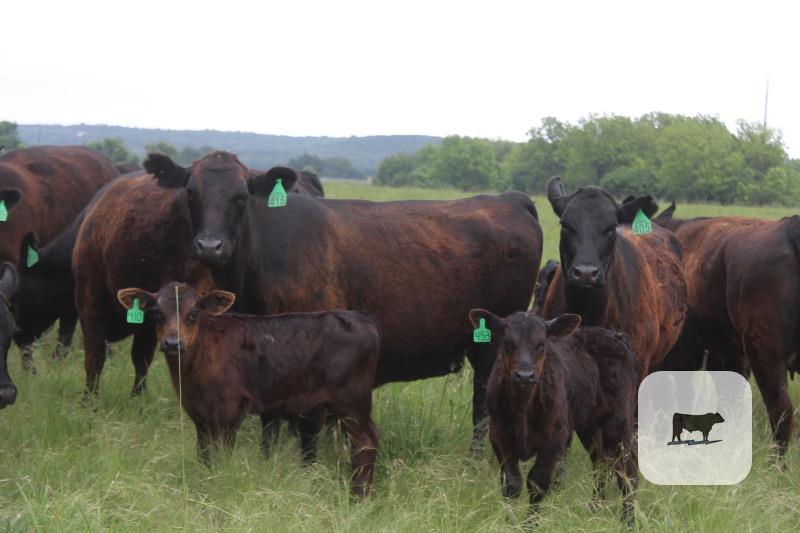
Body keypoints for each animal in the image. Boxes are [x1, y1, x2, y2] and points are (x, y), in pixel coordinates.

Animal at [117, 282, 380, 497]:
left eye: (193, 313)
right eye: (156, 313)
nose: (172, 343)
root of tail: (363, 320)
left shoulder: (229, 412)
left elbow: (222, 455)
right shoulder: (199, 415)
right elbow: (204, 455)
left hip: (351, 400)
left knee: (364, 442)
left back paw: (359, 496)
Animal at [136, 151, 542, 450]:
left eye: (240, 196)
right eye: (191, 193)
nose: (209, 246)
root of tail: (510, 198)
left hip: (493, 344)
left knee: (482, 407)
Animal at [471, 309, 638, 526]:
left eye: (541, 344)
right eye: (508, 342)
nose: (524, 375)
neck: (523, 409)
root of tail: (616, 336)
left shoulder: (554, 440)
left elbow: (537, 483)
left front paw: (530, 525)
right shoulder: (499, 437)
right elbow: (511, 484)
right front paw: (509, 523)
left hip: (619, 422)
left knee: (628, 472)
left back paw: (628, 521)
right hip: (590, 426)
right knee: (602, 464)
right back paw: (594, 512)